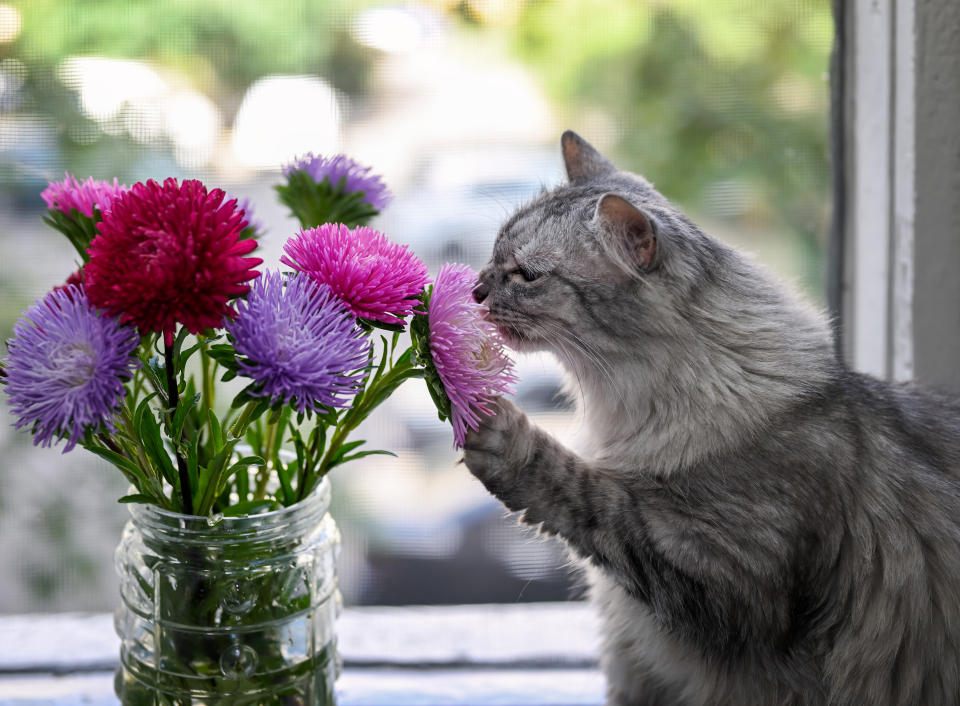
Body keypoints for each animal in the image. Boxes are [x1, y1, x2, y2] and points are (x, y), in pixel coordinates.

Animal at [468, 129, 960, 700]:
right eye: (493, 255)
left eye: (525, 275)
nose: (476, 289)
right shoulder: (634, 659)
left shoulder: (727, 588)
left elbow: (589, 493)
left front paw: (500, 433)